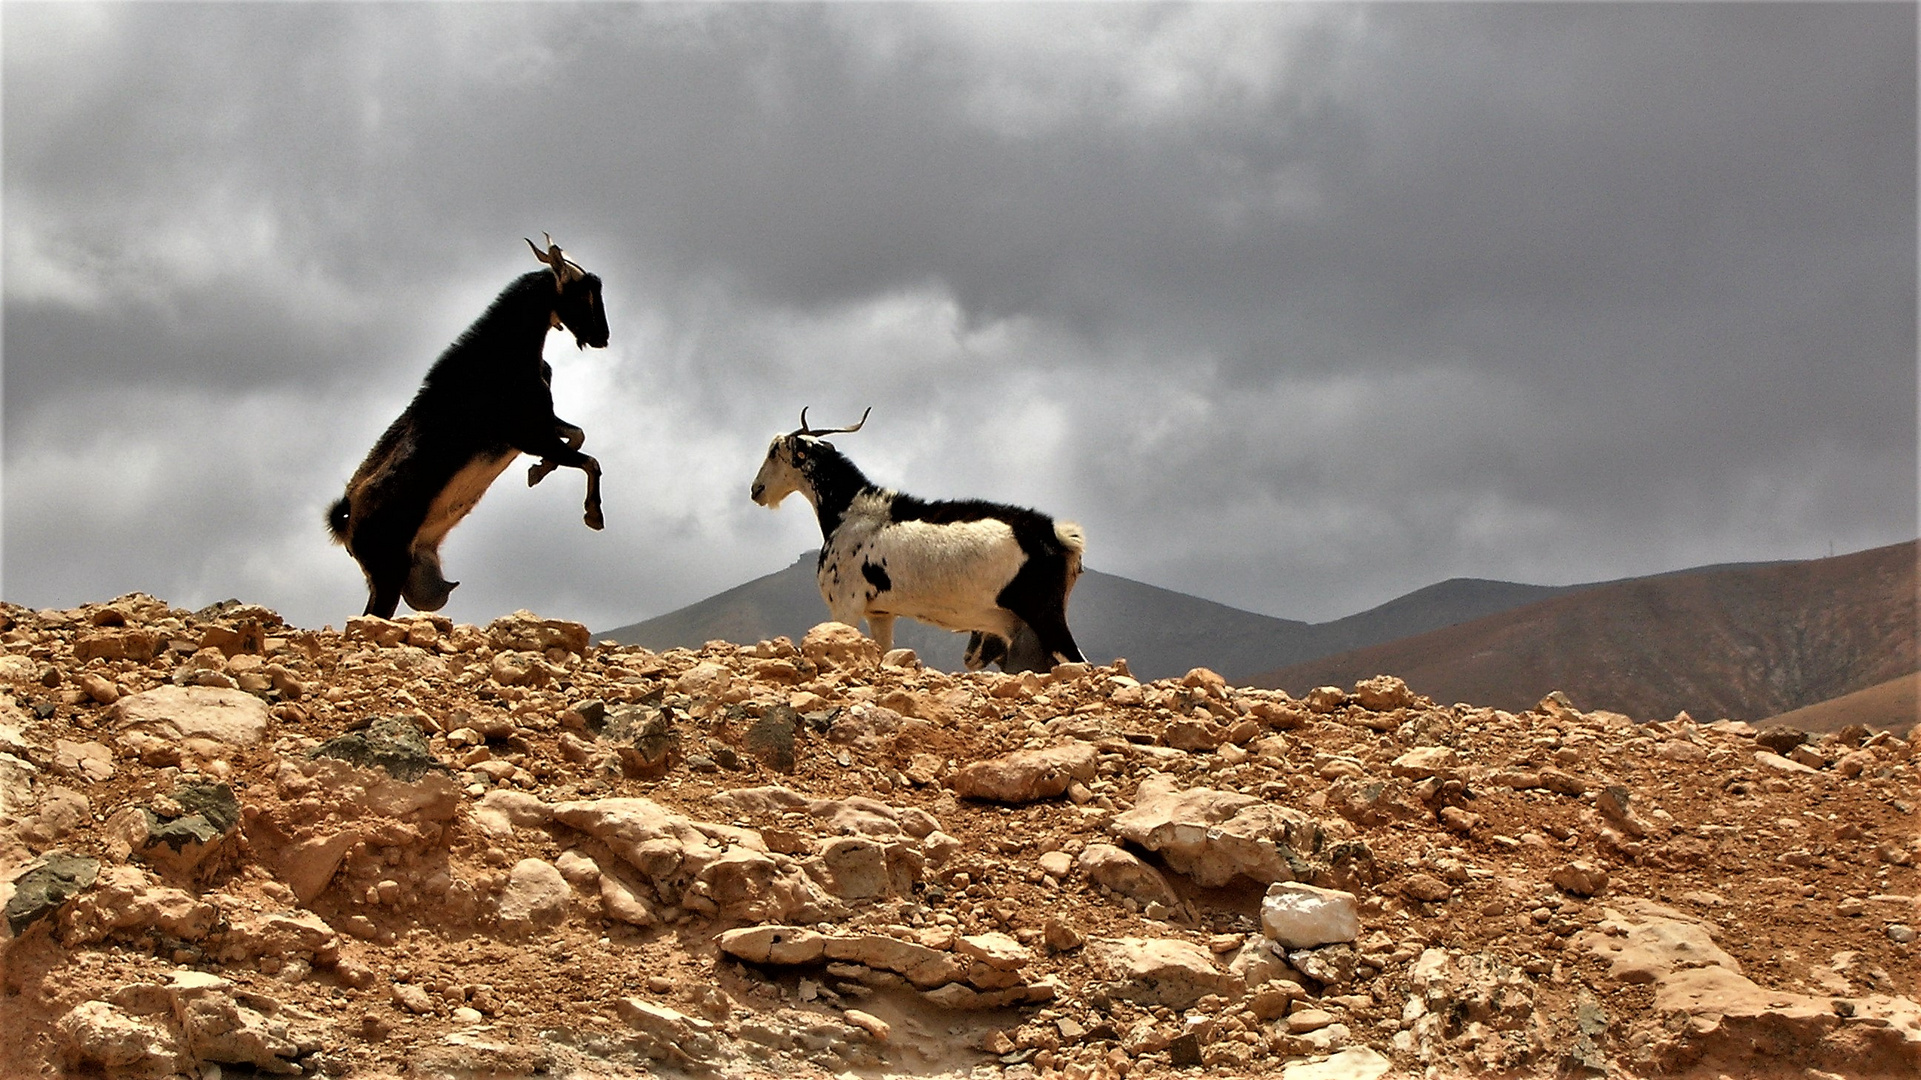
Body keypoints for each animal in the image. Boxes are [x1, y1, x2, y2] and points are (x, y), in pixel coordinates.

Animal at [322, 238, 607, 618]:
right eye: (582, 291)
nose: (602, 337)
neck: (503, 353)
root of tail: (347, 519)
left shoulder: (540, 424)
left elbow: (577, 436)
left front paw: (538, 472)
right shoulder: (526, 432)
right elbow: (589, 460)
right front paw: (593, 515)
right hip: (388, 569)